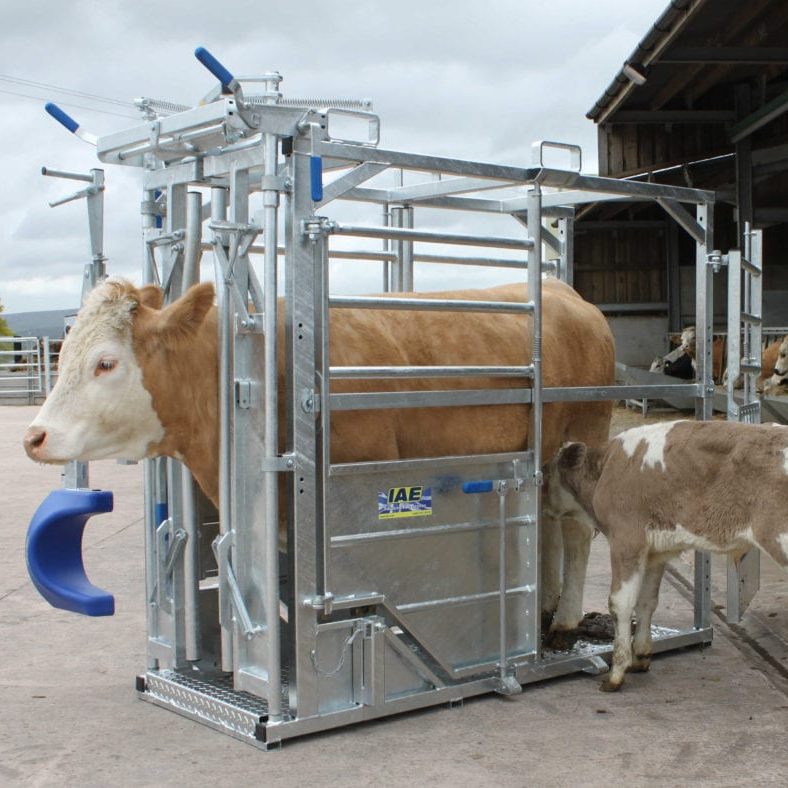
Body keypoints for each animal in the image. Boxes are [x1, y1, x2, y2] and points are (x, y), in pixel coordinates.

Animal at [23, 278, 616, 640]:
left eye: (106, 363)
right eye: (64, 349)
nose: (34, 436)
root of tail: (567, 293)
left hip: (583, 437)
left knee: (575, 528)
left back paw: (564, 618)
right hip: (543, 458)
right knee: (545, 518)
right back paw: (542, 605)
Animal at [544, 418, 788, 688]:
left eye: (545, 472)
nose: (542, 506)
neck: (605, 470)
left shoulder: (626, 541)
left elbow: (620, 603)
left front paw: (616, 673)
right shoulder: (655, 552)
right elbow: (646, 602)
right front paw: (640, 657)